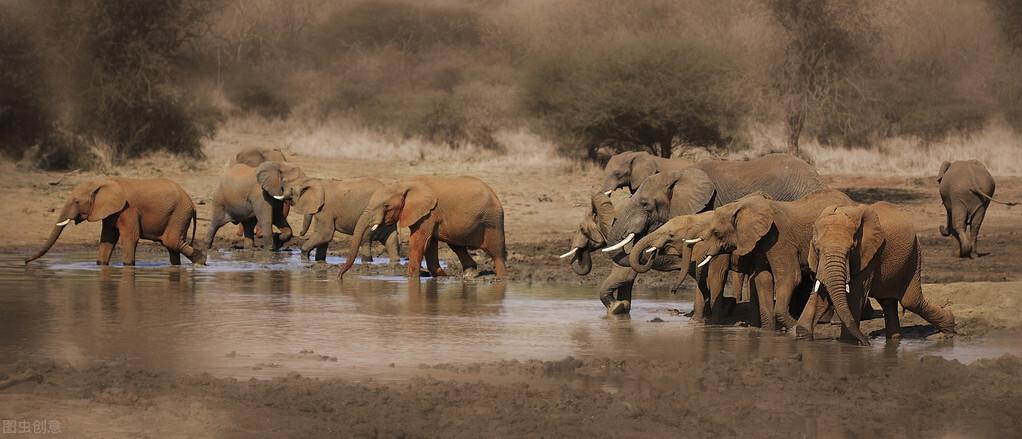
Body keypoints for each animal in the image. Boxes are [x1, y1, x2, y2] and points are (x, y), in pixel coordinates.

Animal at [24, 176, 205, 265]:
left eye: (76, 202)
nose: (25, 261)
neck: (103, 182)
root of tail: (192, 203)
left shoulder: (128, 209)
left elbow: (130, 238)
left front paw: (128, 266)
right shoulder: (109, 212)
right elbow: (107, 239)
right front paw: (100, 265)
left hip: (179, 213)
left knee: (171, 242)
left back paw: (201, 261)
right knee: (172, 246)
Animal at [337, 173, 508, 277]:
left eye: (386, 206)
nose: (339, 277)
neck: (406, 183)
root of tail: (494, 194)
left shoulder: (429, 213)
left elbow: (419, 242)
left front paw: (411, 277)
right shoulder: (428, 215)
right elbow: (430, 243)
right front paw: (439, 275)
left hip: (492, 220)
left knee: (496, 252)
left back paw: (501, 278)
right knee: (457, 246)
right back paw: (470, 275)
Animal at [682, 188, 858, 328]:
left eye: (716, 233)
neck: (741, 206)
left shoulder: (780, 240)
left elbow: (789, 277)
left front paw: (792, 327)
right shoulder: (761, 243)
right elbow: (763, 279)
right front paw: (768, 331)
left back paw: (833, 322)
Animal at [797, 203, 956, 347]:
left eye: (850, 250)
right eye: (817, 250)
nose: (867, 342)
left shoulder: (868, 256)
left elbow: (854, 296)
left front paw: (849, 343)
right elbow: (820, 294)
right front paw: (802, 334)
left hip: (914, 255)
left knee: (911, 301)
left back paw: (950, 328)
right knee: (889, 303)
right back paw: (895, 340)